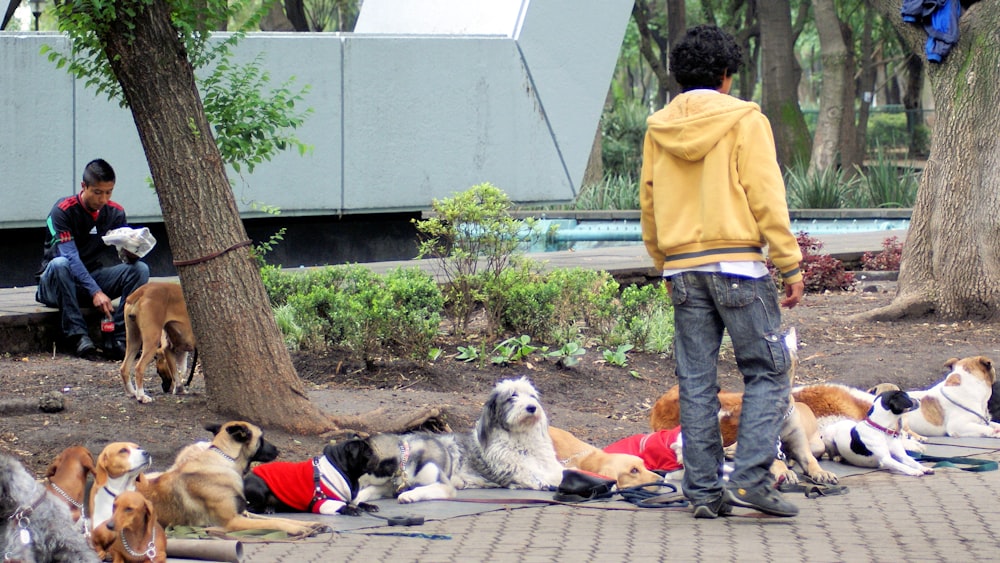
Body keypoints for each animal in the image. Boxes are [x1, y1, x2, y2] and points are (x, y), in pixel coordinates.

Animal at [244, 440, 384, 516]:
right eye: (368, 453)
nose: (377, 455)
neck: (338, 466)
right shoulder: (321, 503)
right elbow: (341, 506)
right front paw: (350, 509)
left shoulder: (349, 498)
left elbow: (357, 502)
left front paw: (368, 506)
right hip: (260, 488)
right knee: (249, 508)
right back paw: (267, 509)